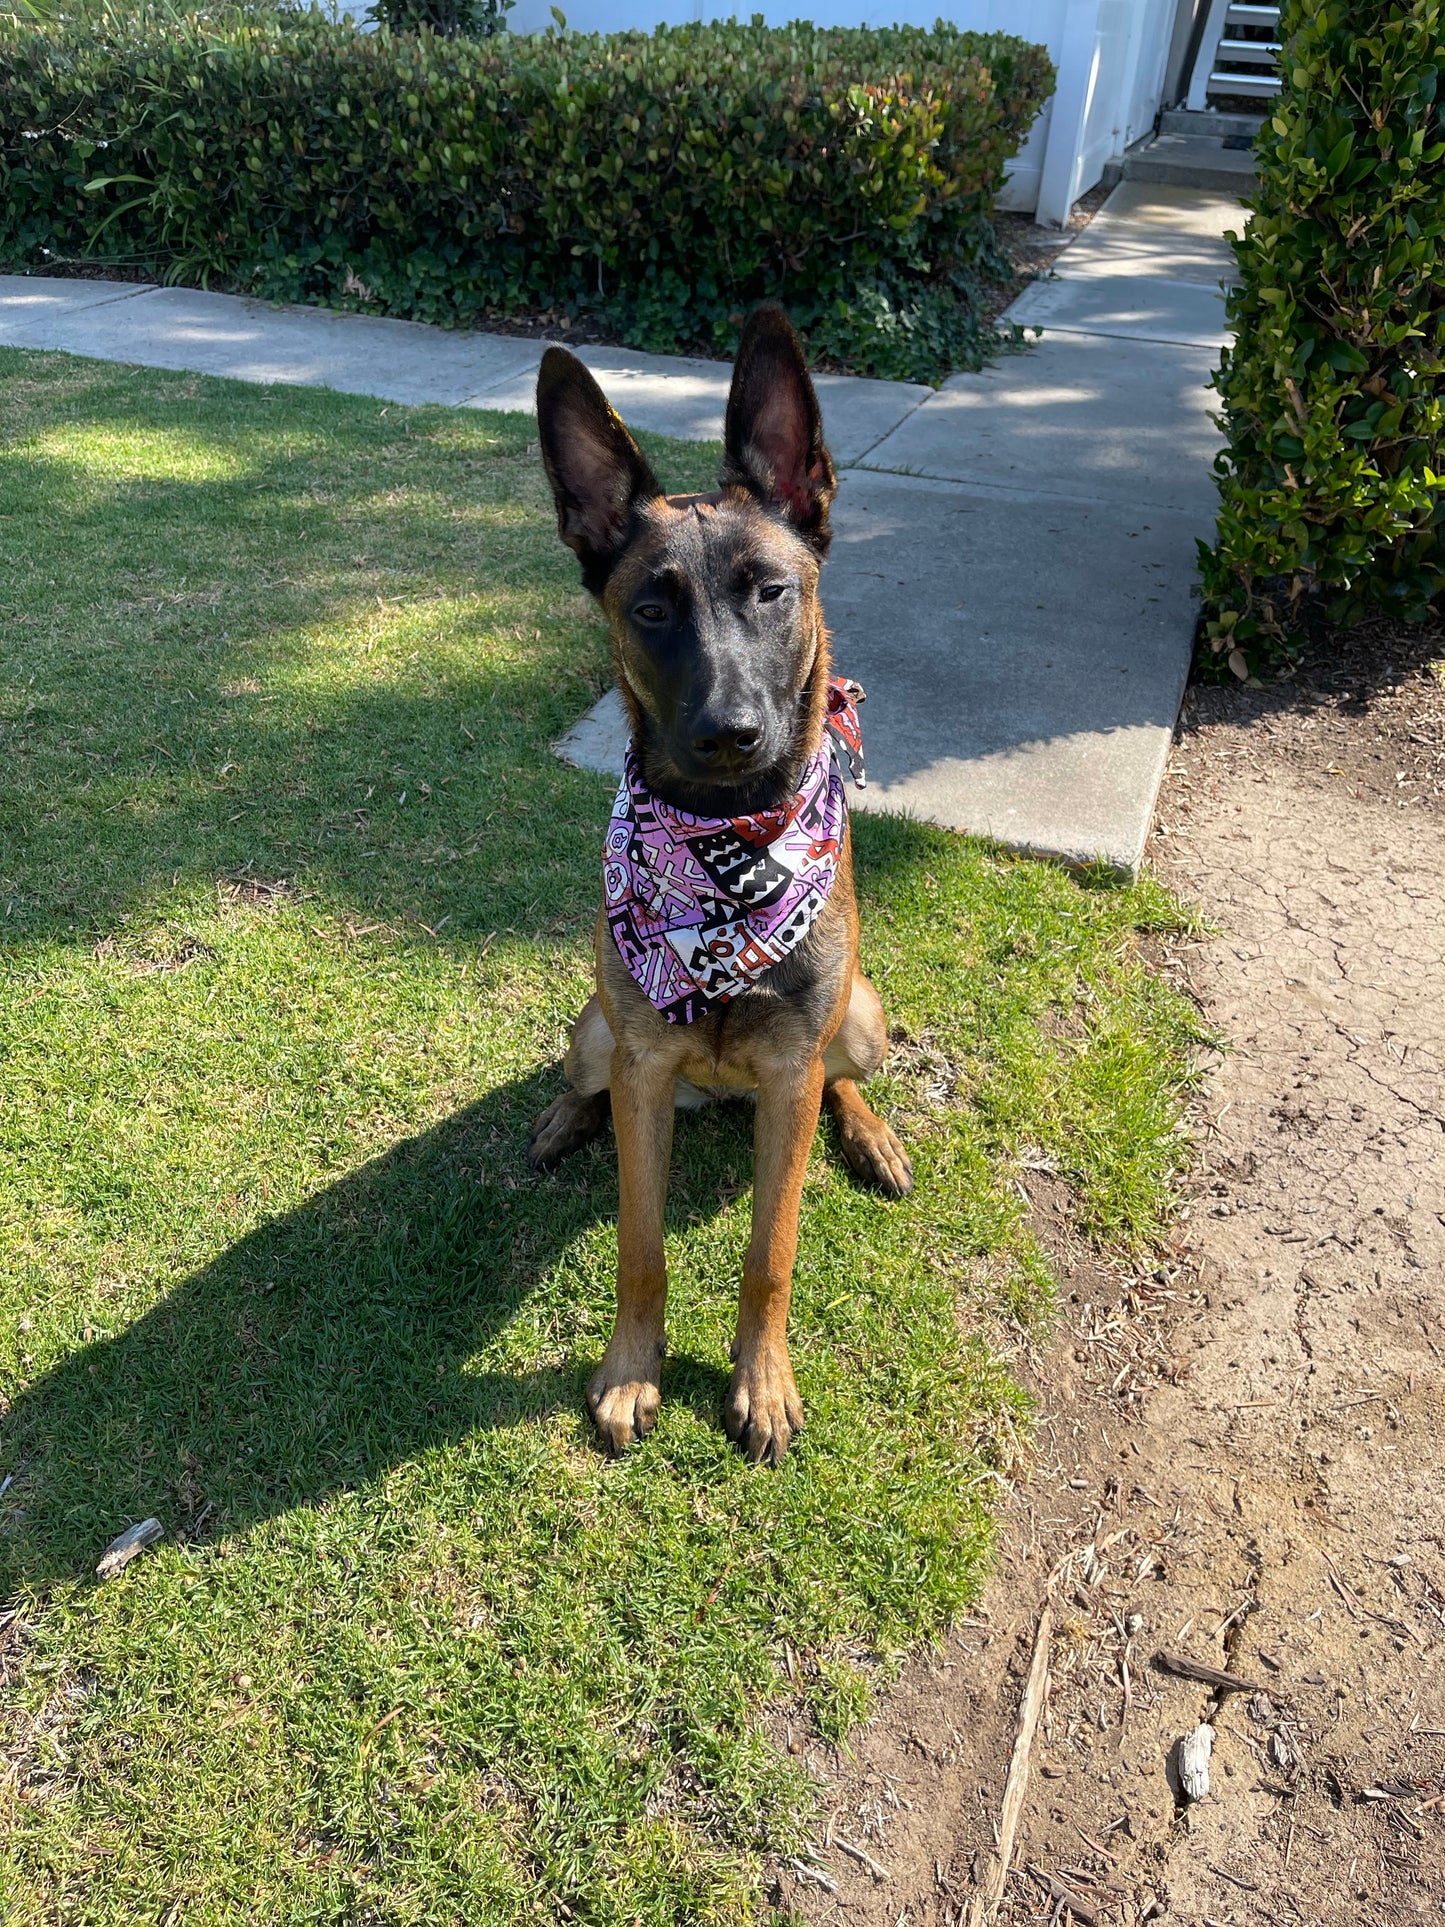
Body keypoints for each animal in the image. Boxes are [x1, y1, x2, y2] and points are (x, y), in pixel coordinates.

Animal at [531, 308, 917, 1464]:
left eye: (770, 591)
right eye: (651, 606)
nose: (729, 734)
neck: (721, 852)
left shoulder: (789, 1074)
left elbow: (769, 1251)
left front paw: (762, 1380)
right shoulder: (647, 1066)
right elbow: (638, 1244)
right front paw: (628, 1372)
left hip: (861, 1019)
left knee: (844, 1076)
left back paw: (872, 1136)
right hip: (594, 1030)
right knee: (589, 1076)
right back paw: (564, 1117)